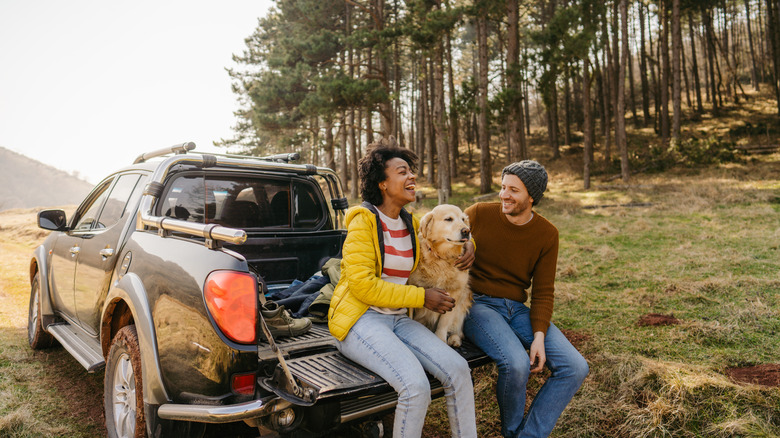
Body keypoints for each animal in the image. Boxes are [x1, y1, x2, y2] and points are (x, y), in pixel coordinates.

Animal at [412, 204, 472, 346]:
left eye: (463, 219)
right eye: (448, 219)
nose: (467, 231)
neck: (442, 258)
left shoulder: (455, 293)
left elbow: (444, 322)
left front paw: (440, 338)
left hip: (464, 298)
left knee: (459, 330)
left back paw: (454, 338)